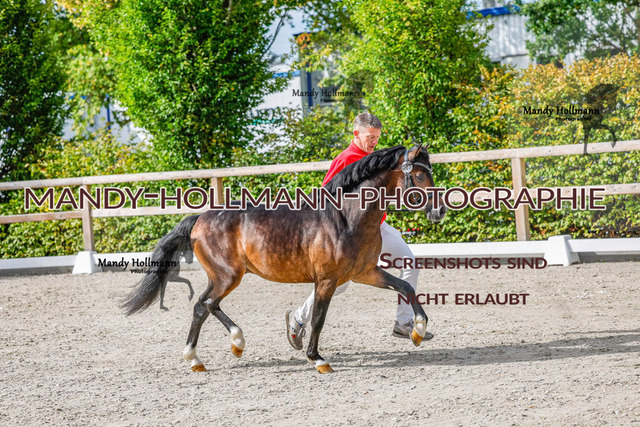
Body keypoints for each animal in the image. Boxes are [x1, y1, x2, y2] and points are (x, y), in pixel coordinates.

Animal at [121, 144, 447, 373]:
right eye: (420, 175)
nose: (439, 210)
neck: (346, 217)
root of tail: (200, 218)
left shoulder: (364, 273)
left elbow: (406, 287)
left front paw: (418, 330)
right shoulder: (327, 280)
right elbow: (318, 318)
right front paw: (317, 359)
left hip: (224, 276)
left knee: (205, 306)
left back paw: (215, 352)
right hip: (228, 276)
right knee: (205, 305)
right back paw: (217, 350)